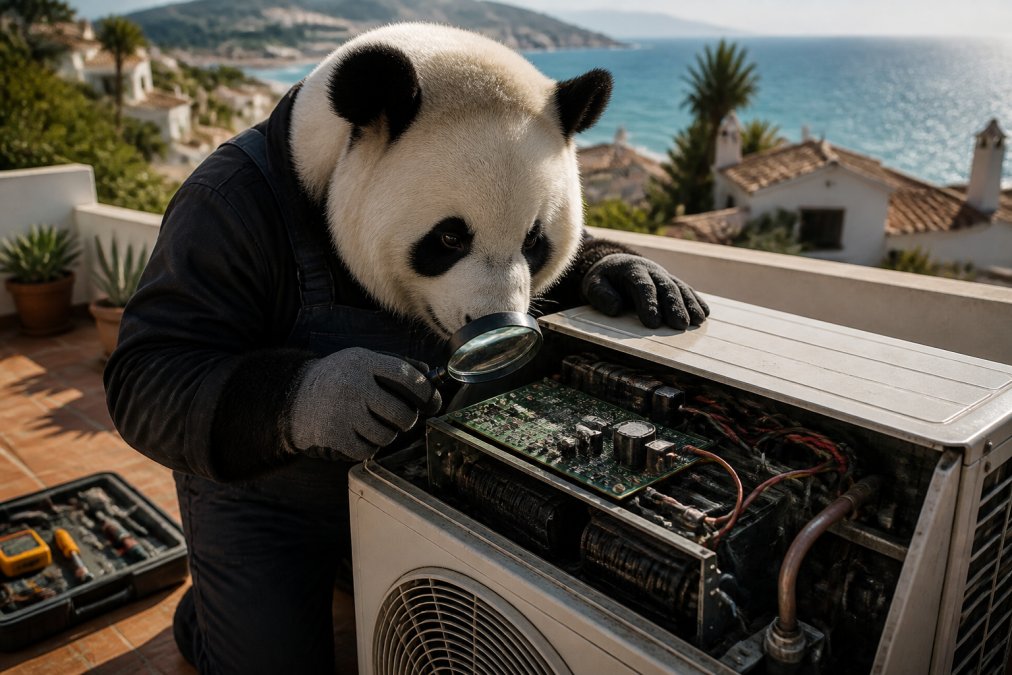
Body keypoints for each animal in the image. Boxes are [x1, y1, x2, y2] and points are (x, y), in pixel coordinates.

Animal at [105, 23, 708, 672]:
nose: (494, 322)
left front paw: (635, 277)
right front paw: (343, 399)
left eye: (535, 241)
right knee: (257, 618)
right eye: (448, 239)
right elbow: (159, 362)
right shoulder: (231, 216)